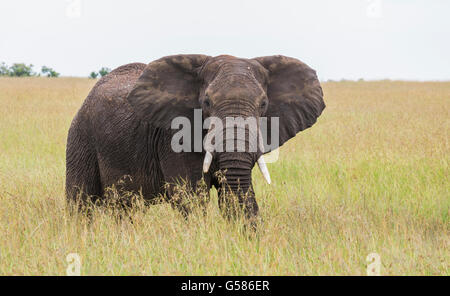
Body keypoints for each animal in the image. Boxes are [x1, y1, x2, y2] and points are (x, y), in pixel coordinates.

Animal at [65, 53, 326, 224]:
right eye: (207, 103)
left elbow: (233, 195)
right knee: (80, 202)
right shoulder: (172, 137)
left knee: (124, 208)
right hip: (80, 136)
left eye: (263, 104)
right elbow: (190, 196)